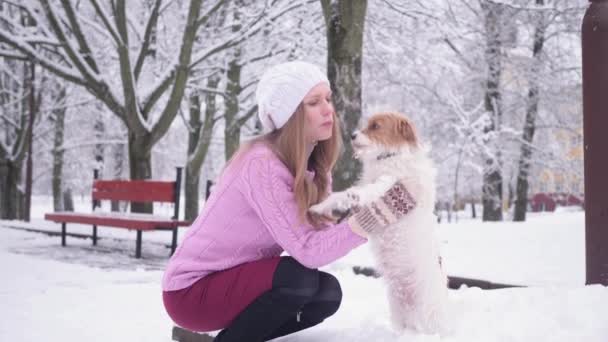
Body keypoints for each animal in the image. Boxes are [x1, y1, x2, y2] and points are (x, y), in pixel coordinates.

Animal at [308, 111, 446, 334]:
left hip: (427, 313)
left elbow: (363, 191)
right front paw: (321, 207)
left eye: (376, 126)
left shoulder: (389, 184)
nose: (352, 136)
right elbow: (340, 196)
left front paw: (350, 198)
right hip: (398, 309)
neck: (389, 156)